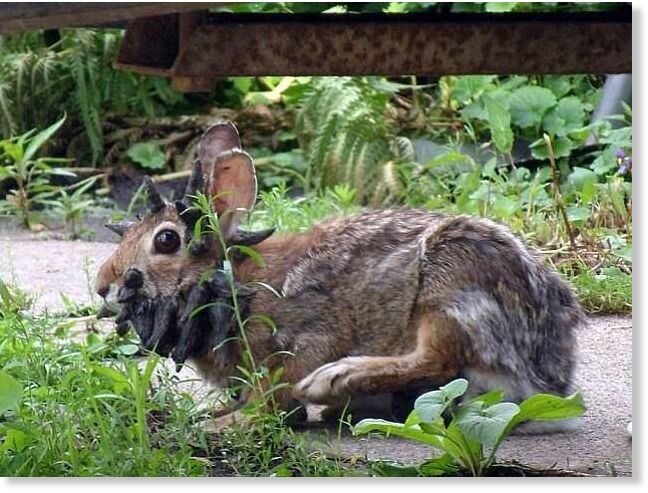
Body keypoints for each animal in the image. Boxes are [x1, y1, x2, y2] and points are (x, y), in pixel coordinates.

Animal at [95, 120, 586, 431]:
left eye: (166, 241)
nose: (103, 285)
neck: (232, 282)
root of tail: (549, 375)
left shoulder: (304, 338)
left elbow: (275, 396)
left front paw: (226, 425)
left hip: (449, 286)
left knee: (437, 360)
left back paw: (336, 380)